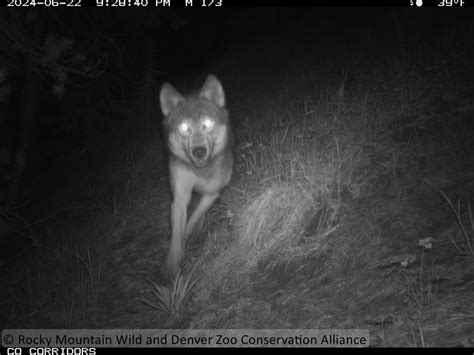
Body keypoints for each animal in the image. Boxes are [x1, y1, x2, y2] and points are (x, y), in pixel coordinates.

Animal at [159, 75, 233, 280]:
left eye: (207, 124)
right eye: (184, 127)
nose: (199, 152)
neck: (200, 171)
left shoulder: (212, 192)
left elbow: (194, 218)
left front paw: (189, 235)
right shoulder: (180, 197)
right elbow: (177, 232)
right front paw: (171, 266)